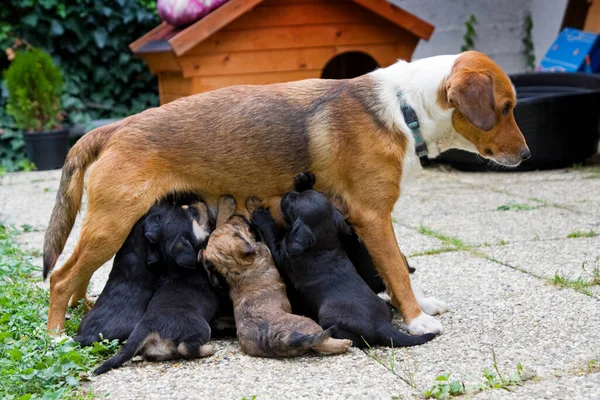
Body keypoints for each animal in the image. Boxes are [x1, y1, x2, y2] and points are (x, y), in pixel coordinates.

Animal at [96, 199, 220, 376]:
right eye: (191, 212)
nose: (198, 202)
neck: (174, 266)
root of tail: (147, 328)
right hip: (201, 327)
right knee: (185, 347)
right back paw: (208, 349)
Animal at [202, 196, 352, 356]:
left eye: (234, 226)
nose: (237, 215)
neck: (238, 268)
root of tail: (280, 340)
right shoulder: (265, 247)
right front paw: (253, 206)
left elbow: (218, 225)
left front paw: (226, 205)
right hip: (308, 323)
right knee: (321, 342)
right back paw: (343, 343)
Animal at [252, 174, 436, 346]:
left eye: (292, 203)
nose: (288, 193)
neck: (322, 243)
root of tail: (382, 325)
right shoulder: (345, 235)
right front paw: (305, 181)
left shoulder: (284, 255)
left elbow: (271, 238)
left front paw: (261, 216)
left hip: (328, 316)